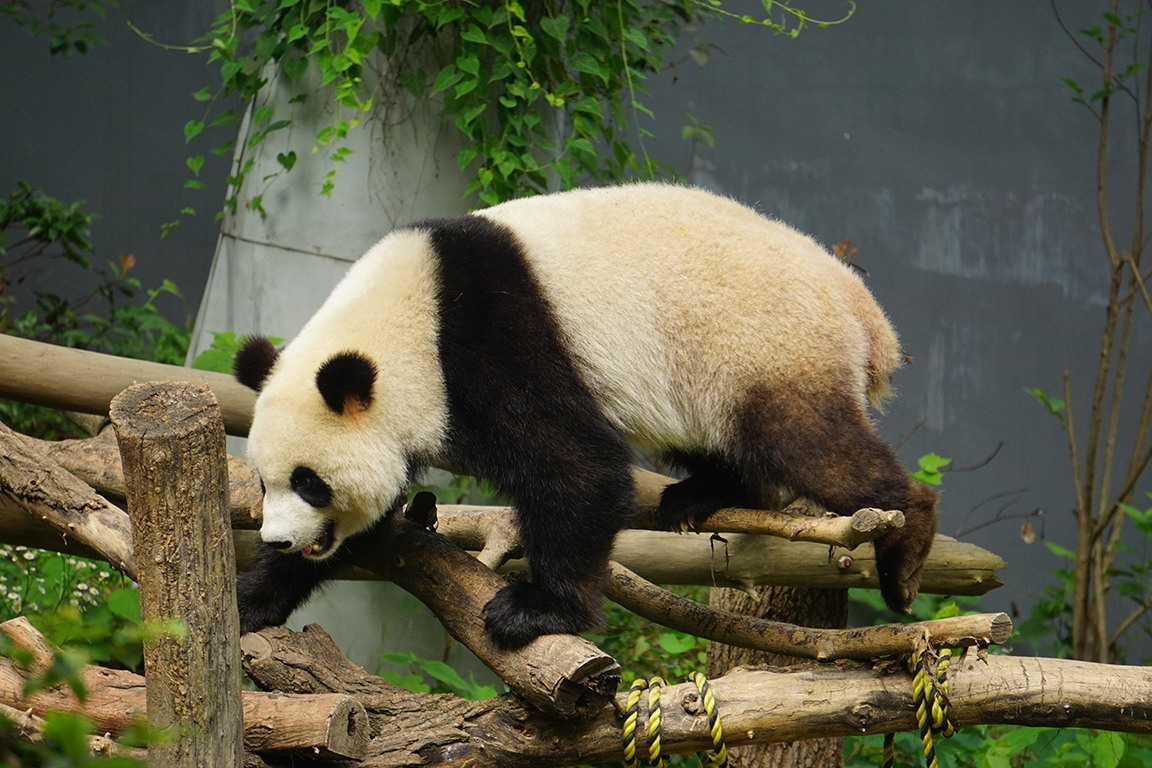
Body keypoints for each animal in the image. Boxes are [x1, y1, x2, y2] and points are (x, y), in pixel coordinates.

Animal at [232, 182, 938, 650]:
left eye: (310, 483)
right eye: (265, 483)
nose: (277, 538)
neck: (404, 319)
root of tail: (866, 312)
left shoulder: (487, 339)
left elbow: (576, 467)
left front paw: (535, 611)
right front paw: (251, 598)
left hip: (764, 346)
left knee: (809, 445)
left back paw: (904, 546)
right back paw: (702, 494)